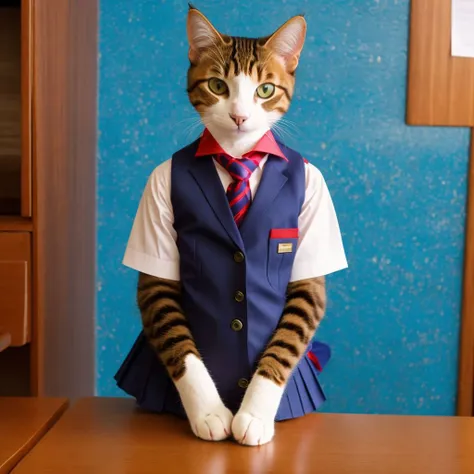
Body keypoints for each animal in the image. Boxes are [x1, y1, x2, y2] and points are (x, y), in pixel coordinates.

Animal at [115, 5, 344, 446]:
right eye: (218, 85)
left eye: (265, 90)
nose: (239, 116)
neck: (238, 156)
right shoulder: (155, 193)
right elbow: (178, 343)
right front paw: (208, 412)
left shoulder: (316, 202)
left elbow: (288, 338)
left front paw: (253, 414)